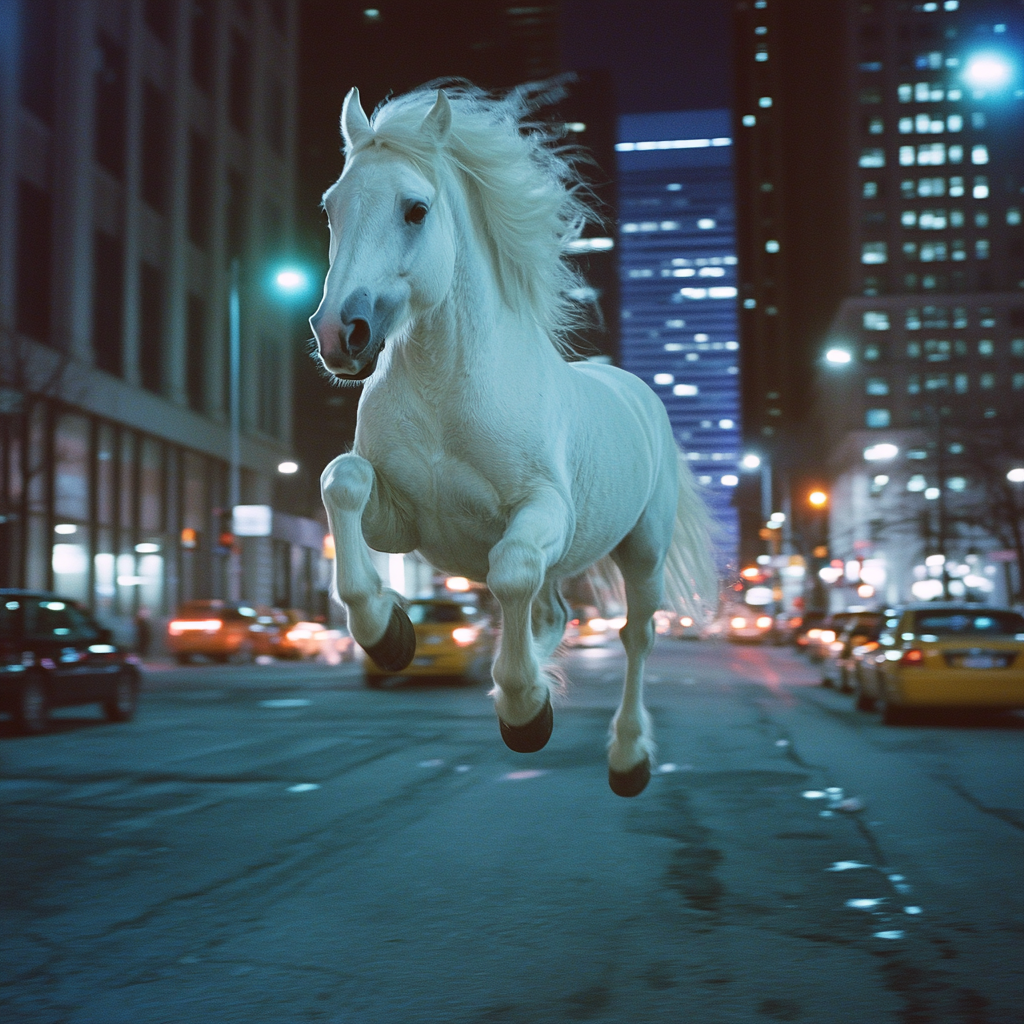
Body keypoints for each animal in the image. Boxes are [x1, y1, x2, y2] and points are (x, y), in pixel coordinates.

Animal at [307, 83, 716, 794]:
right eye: (333, 207)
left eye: (416, 210)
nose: (340, 334)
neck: (448, 392)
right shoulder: (403, 522)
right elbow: (343, 481)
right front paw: (389, 633)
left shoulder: (542, 510)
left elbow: (512, 567)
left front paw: (526, 710)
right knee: (554, 613)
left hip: (644, 549)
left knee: (634, 636)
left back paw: (627, 755)